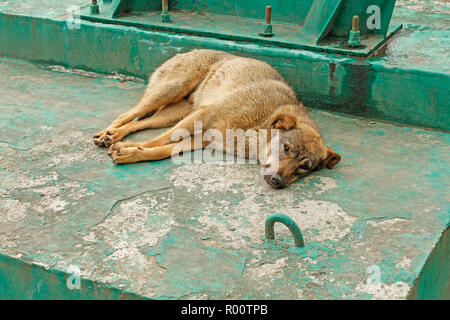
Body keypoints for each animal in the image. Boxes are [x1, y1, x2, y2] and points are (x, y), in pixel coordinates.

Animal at [95, 49, 342, 189]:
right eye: (287, 148)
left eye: (305, 167)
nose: (277, 182)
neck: (259, 127)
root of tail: (189, 49)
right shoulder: (205, 115)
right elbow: (159, 141)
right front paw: (129, 148)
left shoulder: (206, 138)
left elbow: (164, 150)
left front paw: (132, 152)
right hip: (171, 91)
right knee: (127, 114)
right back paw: (108, 133)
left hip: (173, 113)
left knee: (140, 122)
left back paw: (114, 135)